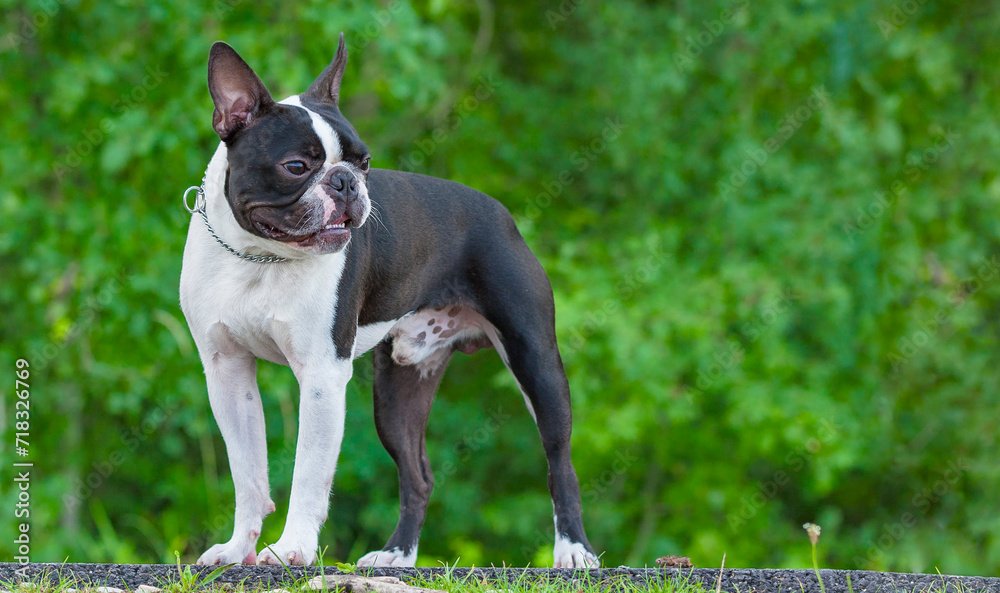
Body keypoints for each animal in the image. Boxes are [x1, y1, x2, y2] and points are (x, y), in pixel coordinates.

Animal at [180, 33, 596, 568]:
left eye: (364, 162)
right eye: (296, 166)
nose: (346, 181)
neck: (259, 259)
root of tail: (504, 215)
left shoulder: (322, 375)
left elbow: (309, 471)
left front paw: (292, 548)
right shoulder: (228, 373)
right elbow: (248, 472)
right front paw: (237, 550)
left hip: (536, 360)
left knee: (560, 461)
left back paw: (574, 551)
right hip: (399, 388)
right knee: (418, 476)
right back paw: (397, 555)